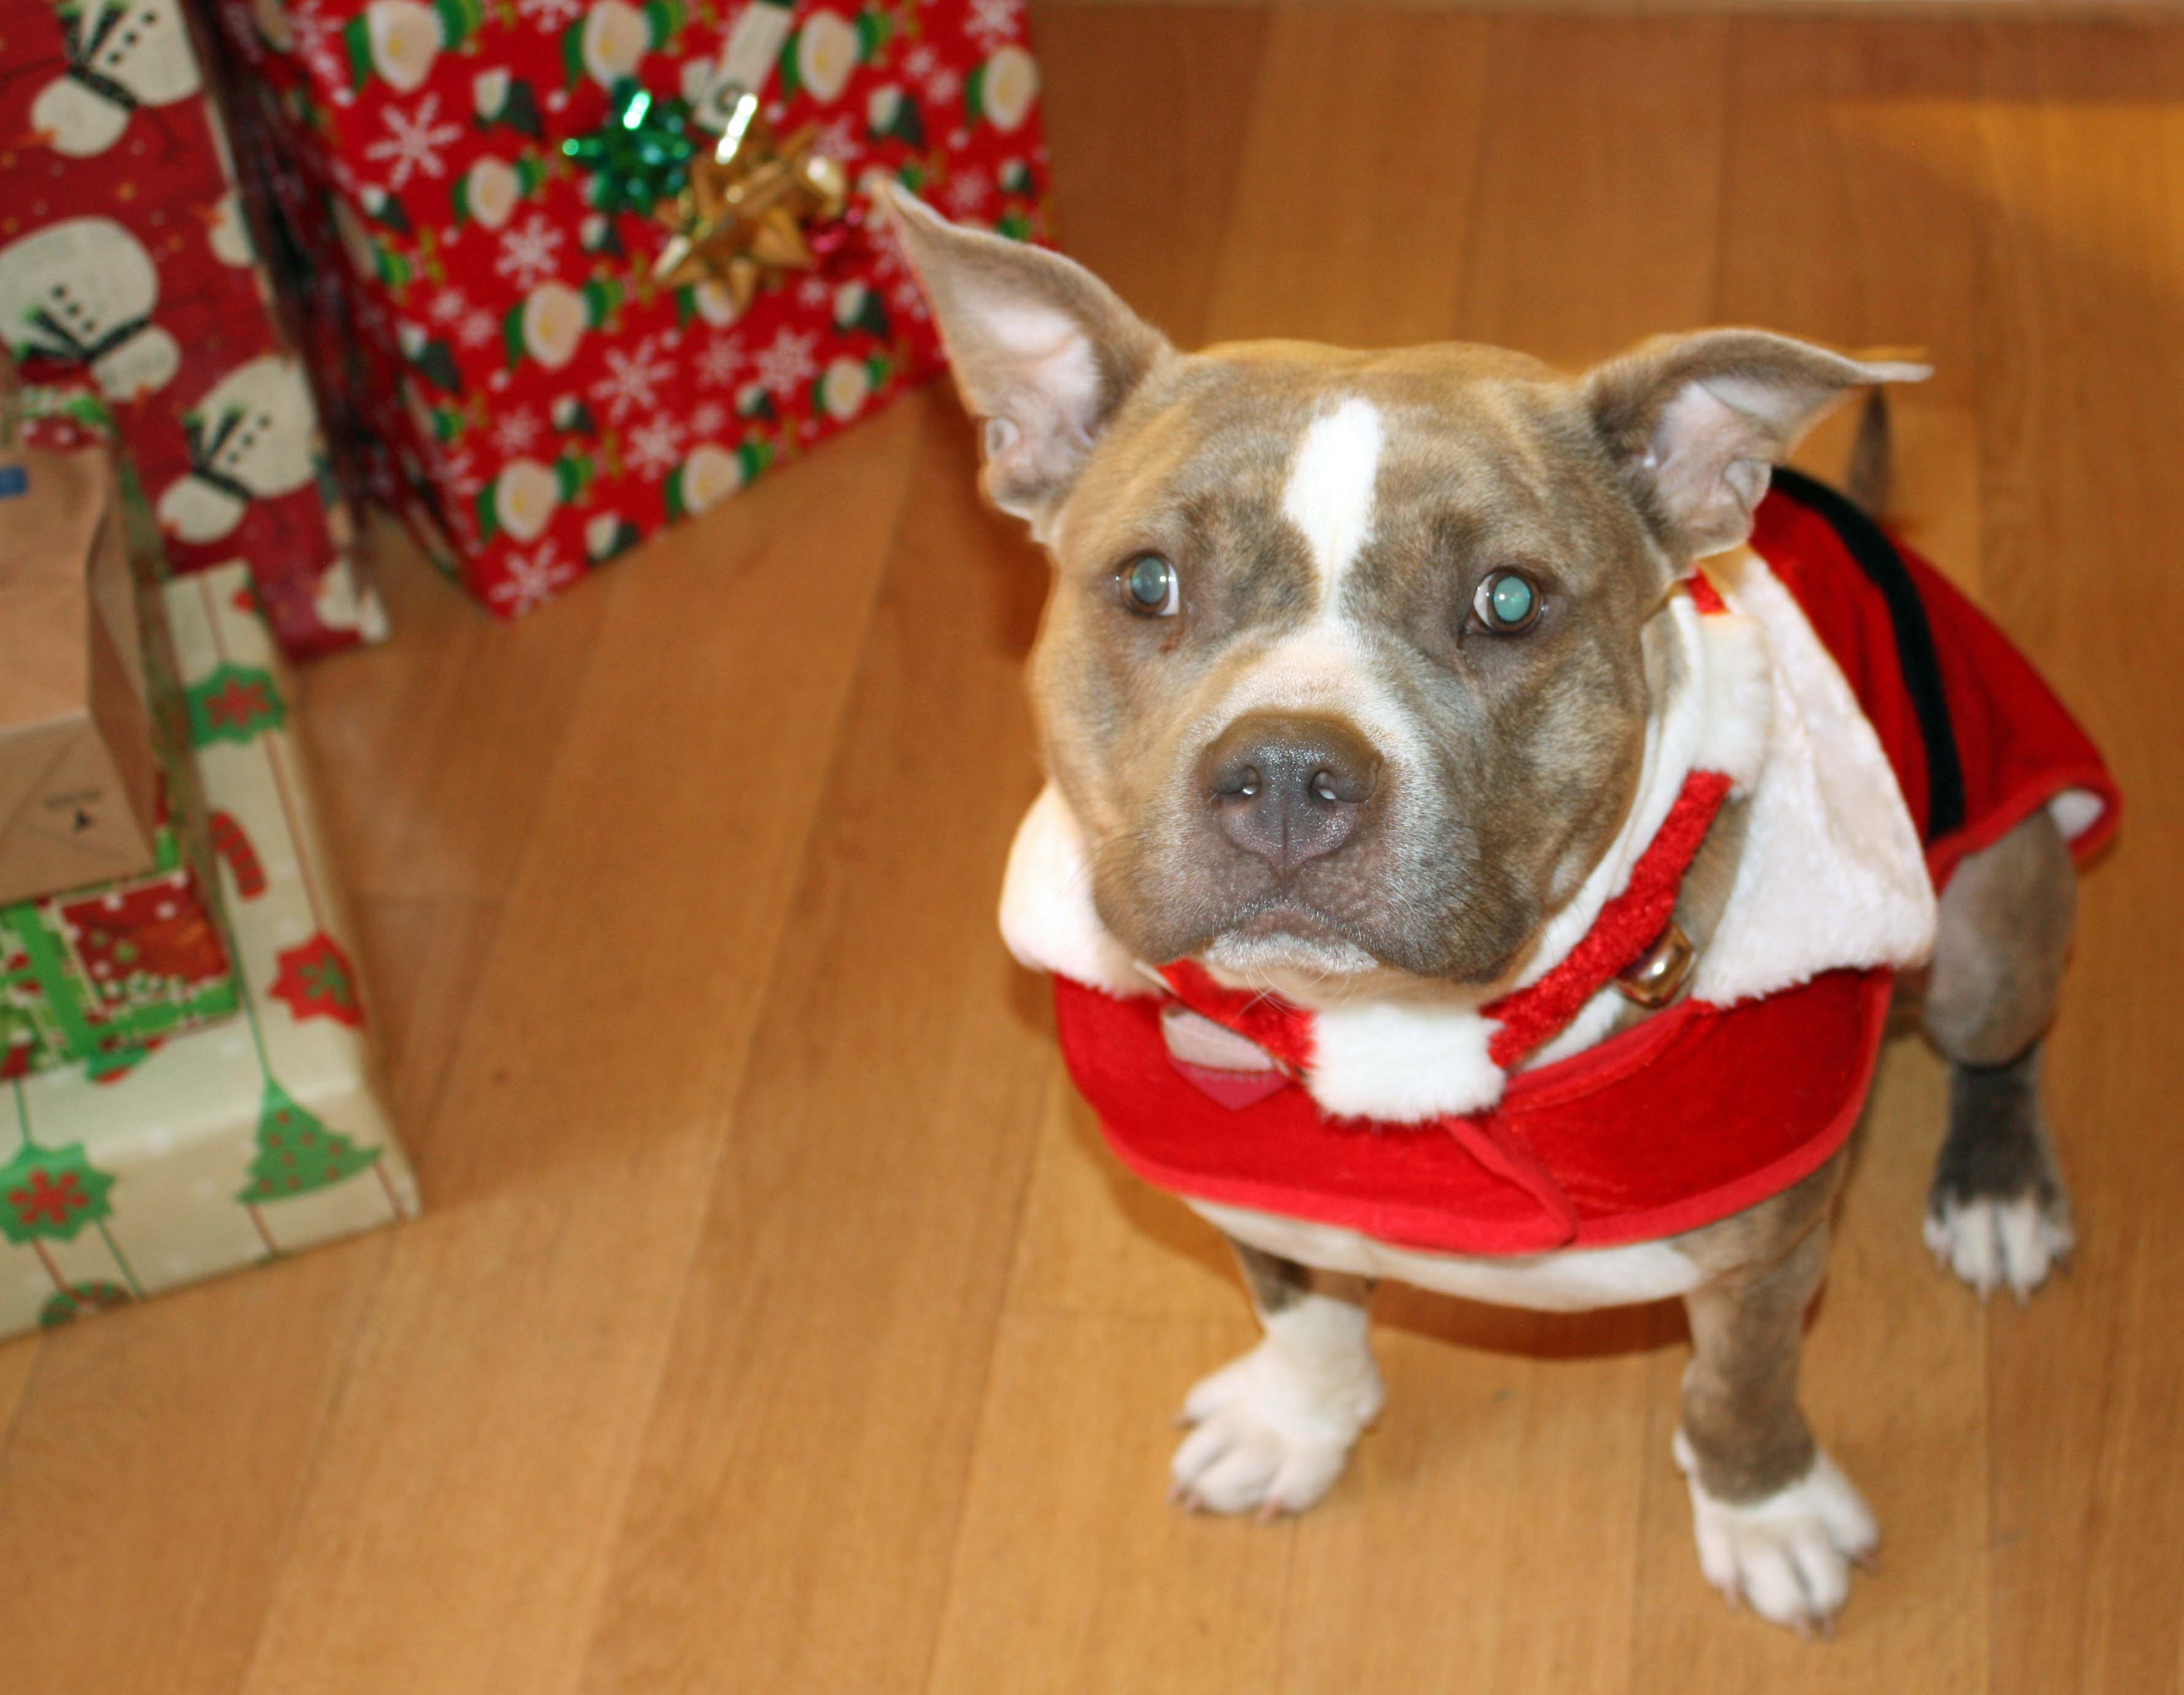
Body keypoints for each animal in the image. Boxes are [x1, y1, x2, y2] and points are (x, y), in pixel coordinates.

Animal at [881, 187, 2118, 1634]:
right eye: (1145, 584)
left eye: (1508, 601)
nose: (1287, 771)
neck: (1403, 1036)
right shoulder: (1255, 1188)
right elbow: (1299, 1306)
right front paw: (1297, 1425)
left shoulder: (1763, 1253)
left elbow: (1737, 1383)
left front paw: (1765, 1510)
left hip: (1988, 917)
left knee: (2001, 1037)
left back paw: (1995, 1191)